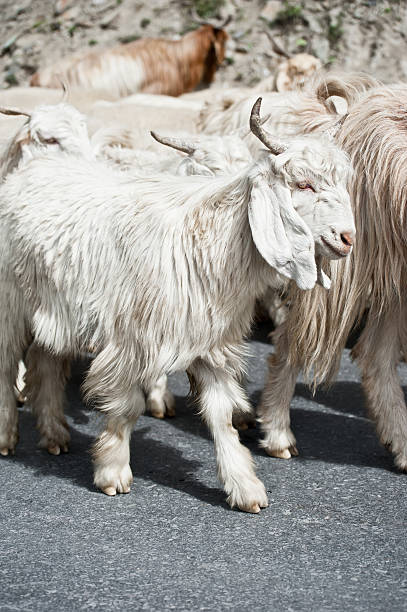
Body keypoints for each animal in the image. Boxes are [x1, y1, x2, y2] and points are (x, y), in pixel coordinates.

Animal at [0, 100, 356, 512]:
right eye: (303, 184)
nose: (348, 238)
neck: (203, 241)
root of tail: (32, 170)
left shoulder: (209, 342)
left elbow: (221, 415)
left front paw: (244, 485)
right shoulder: (130, 341)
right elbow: (126, 408)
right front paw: (113, 471)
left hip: (53, 310)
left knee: (46, 362)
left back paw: (54, 433)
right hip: (10, 304)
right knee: (7, 365)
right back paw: (7, 436)